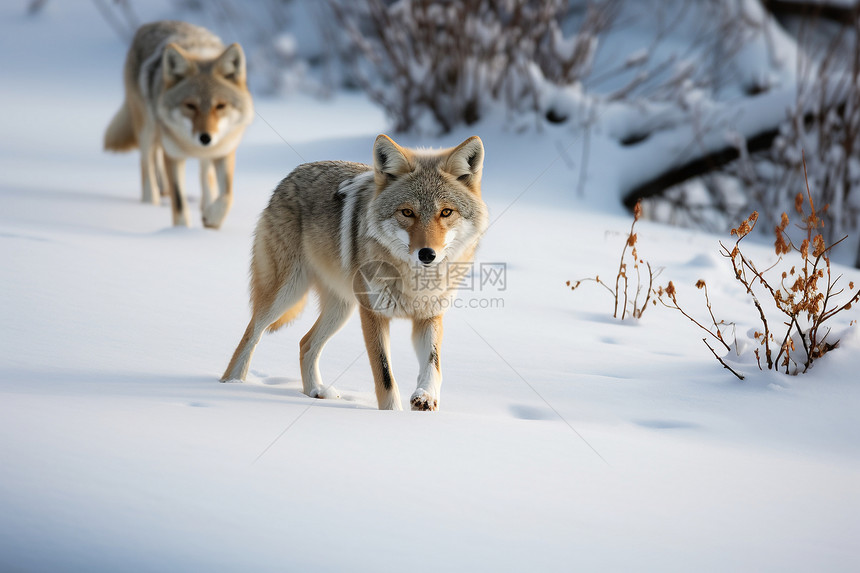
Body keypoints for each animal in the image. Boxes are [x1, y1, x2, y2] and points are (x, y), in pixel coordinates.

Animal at [103, 21, 252, 229]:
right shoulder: (173, 156)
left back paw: (204, 203)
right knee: (147, 164)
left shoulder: (224, 152)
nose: (205, 137)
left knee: (205, 175)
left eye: (220, 106)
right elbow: (180, 202)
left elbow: (227, 196)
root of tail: (149, 24)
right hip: (147, 130)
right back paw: (151, 201)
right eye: (190, 105)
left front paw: (211, 219)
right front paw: (181, 232)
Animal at [222, 134, 490, 412]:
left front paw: (425, 398)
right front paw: (392, 414)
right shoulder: (373, 315)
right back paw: (232, 386)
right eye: (407, 212)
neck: (413, 280)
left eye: (446, 212)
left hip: (341, 309)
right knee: (251, 336)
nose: (427, 254)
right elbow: (385, 376)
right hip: (285, 295)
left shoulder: (429, 316)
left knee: (305, 343)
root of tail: (292, 174)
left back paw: (315, 392)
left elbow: (433, 365)